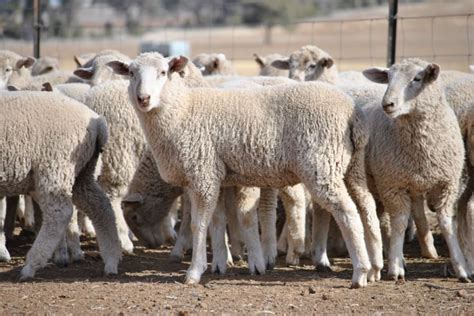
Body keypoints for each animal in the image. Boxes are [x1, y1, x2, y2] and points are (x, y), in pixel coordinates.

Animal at [362, 58, 470, 282]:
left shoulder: (448, 184)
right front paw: (395, 268)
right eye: (388, 78)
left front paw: (462, 268)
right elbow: (400, 224)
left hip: (413, 184)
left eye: (417, 78)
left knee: (413, 213)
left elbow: (447, 224)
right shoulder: (392, 184)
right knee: (385, 222)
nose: (387, 104)